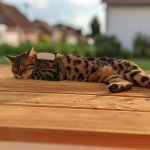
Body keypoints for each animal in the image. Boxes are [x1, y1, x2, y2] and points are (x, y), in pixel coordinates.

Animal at [5, 47, 150, 92]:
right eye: (15, 70)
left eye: (24, 66)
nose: (19, 74)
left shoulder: (51, 72)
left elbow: (33, 74)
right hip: (111, 76)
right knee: (128, 84)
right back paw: (115, 87)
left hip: (129, 72)